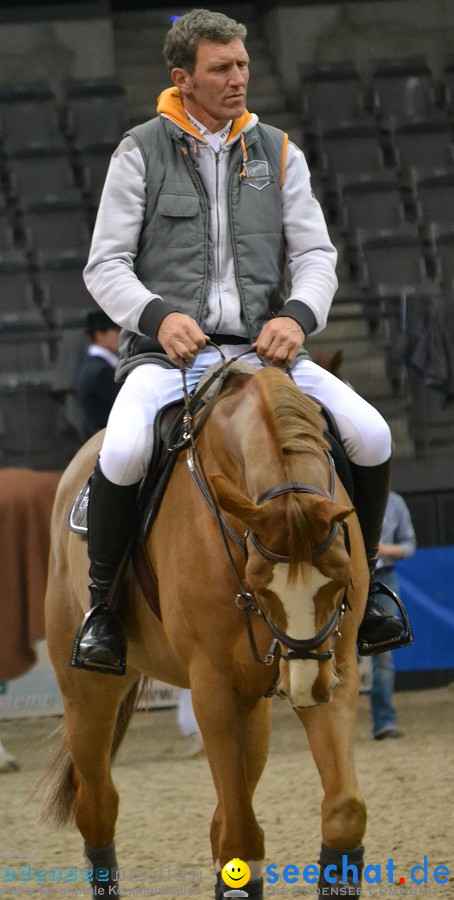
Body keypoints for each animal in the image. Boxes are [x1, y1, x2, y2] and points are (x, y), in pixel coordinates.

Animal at [41, 368, 368, 900]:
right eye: (259, 582)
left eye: (340, 577)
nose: (305, 689)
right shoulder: (215, 686)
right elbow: (241, 836)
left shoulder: (335, 668)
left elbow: (343, 814)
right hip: (88, 693)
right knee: (99, 806)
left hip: (255, 704)